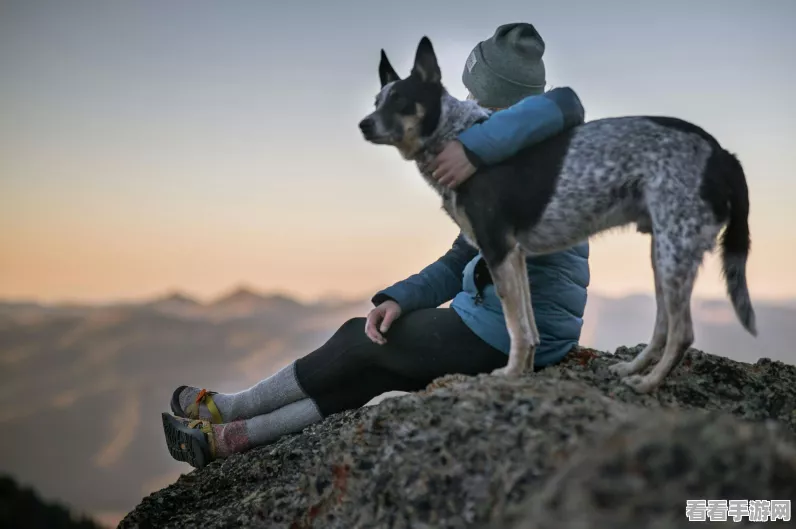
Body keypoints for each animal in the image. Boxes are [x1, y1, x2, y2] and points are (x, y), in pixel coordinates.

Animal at [358, 36, 756, 392]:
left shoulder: (497, 249)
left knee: (682, 332)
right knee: (662, 327)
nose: (364, 124)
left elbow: (515, 326)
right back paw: (631, 369)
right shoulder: (514, 255)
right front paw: (524, 372)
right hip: (664, 254)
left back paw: (648, 384)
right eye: (377, 101)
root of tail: (722, 154)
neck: (453, 134)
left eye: (401, 100)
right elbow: (528, 327)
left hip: (675, 252)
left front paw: (508, 375)